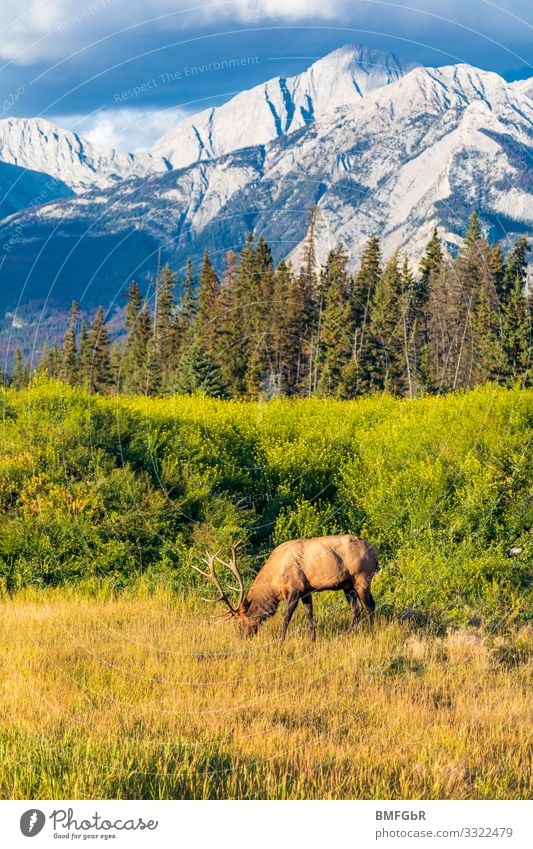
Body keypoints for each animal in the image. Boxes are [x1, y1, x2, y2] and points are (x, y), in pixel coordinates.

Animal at [191, 532, 378, 640]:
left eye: (240, 622)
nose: (242, 638)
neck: (275, 582)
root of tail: (376, 551)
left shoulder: (295, 589)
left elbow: (286, 616)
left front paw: (280, 640)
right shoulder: (306, 590)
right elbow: (310, 614)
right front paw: (312, 639)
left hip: (362, 576)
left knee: (369, 606)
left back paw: (371, 634)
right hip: (347, 584)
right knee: (356, 608)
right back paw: (347, 634)